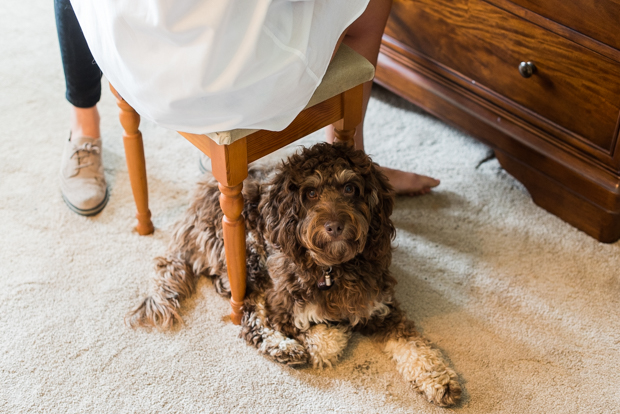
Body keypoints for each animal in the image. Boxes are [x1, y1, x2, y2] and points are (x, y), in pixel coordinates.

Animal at [126, 143, 460, 408]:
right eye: (310, 192)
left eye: (350, 188)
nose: (335, 226)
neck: (334, 267)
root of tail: (194, 204)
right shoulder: (283, 302)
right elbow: (322, 337)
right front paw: (332, 333)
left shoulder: (382, 307)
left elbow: (415, 347)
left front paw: (439, 380)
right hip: (249, 251)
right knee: (249, 314)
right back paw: (285, 348)